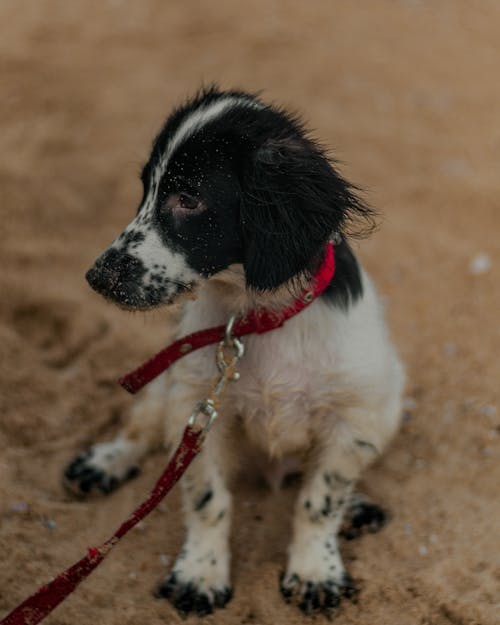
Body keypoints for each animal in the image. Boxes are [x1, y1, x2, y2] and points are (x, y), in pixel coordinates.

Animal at [64, 86, 404, 616]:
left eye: (189, 198)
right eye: (145, 191)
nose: (97, 277)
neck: (258, 318)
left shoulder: (354, 415)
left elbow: (319, 499)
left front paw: (315, 570)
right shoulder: (198, 406)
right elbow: (209, 499)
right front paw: (199, 575)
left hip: (390, 400)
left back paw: (357, 505)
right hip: (169, 381)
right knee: (142, 427)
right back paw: (106, 462)